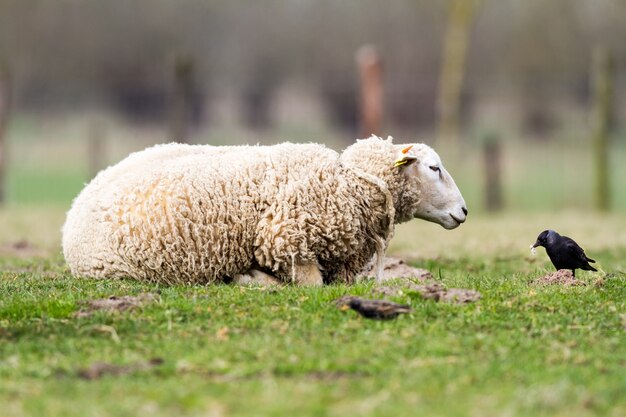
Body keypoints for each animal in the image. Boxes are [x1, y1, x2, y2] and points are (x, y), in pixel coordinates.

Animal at [63, 135, 466, 284]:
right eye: (434, 168)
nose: (463, 212)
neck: (347, 182)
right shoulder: (287, 242)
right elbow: (311, 288)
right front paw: (256, 279)